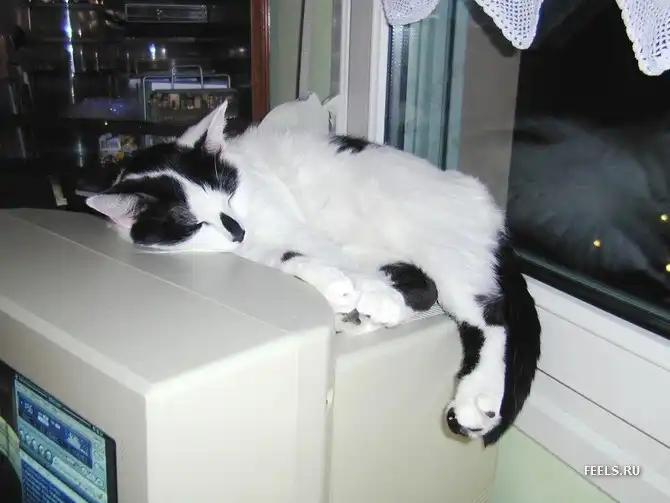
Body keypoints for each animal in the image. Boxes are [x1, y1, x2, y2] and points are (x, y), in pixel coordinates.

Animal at [84, 101, 541, 445]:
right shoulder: (259, 250)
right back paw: (356, 315)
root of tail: (481, 201)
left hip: (436, 246)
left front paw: (356, 290)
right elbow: (285, 258)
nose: (236, 228)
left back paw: (475, 392)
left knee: (489, 317)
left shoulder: (290, 227)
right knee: (423, 289)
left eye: (226, 192)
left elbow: (310, 251)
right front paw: (338, 287)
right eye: (193, 222)